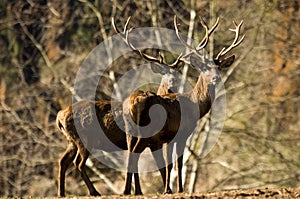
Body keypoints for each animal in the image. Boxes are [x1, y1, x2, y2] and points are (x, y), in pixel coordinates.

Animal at [56, 16, 183, 196]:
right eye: (164, 73)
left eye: (176, 72)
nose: (174, 81)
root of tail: (59, 115)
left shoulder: (153, 143)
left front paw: (148, 190)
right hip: (84, 138)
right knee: (77, 163)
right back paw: (94, 192)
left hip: (71, 141)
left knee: (63, 161)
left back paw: (62, 192)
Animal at [122, 15, 244, 194]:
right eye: (204, 68)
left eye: (219, 68)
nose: (216, 78)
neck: (194, 106)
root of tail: (132, 102)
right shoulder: (180, 134)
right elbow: (176, 164)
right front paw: (176, 189)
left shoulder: (167, 138)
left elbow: (171, 164)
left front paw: (171, 189)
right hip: (146, 130)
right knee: (134, 154)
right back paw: (128, 190)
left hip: (130, 131)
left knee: (129, 154)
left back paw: (130, 190)